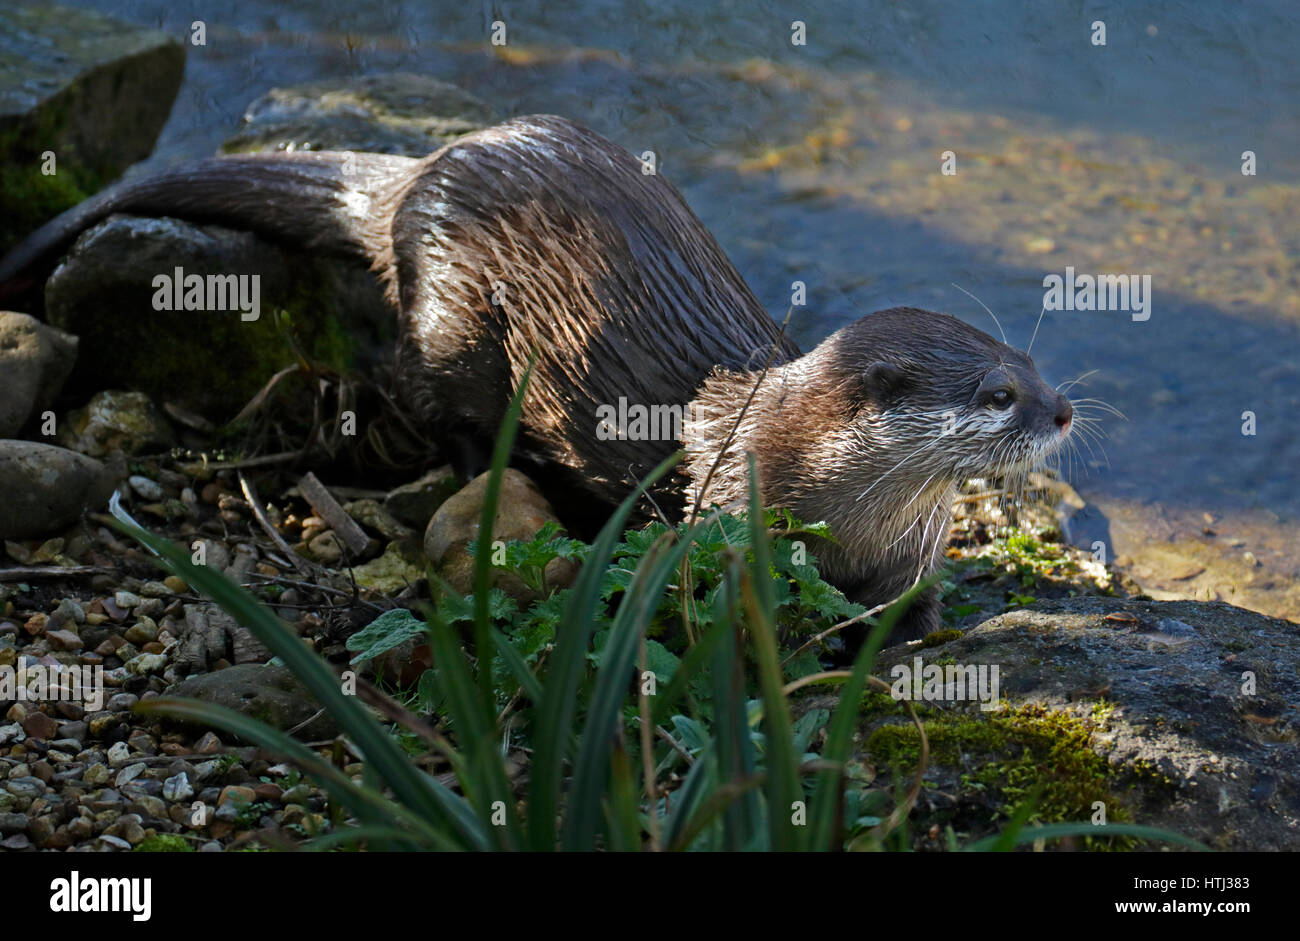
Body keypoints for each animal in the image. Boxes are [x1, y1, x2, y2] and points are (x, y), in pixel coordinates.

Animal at [0, 114, 1072, 639]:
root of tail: (422, 172)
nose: (1064, 410)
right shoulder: (727, 519)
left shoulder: (913, 551)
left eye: (1029, 360)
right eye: (997, 393)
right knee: (428, 394)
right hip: (449, 321)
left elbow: (915, 606)